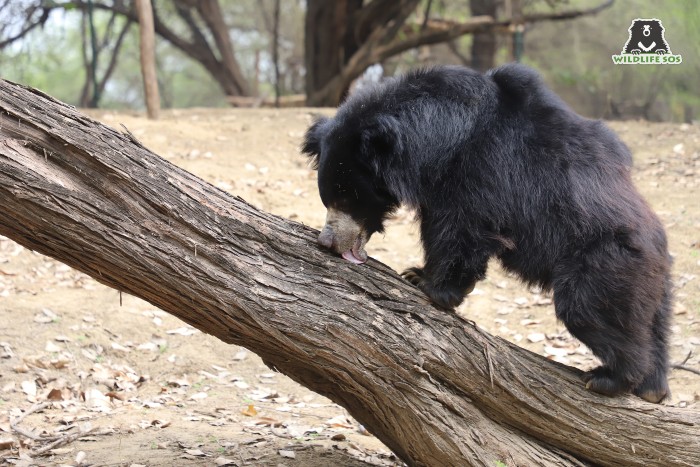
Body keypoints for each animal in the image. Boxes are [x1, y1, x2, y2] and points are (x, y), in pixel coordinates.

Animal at [304, 64, 676, 404]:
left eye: (346, 197)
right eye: (327, 197)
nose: (327, 241)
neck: (436, 134)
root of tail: (657, 247)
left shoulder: (479, 171)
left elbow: (462, 228)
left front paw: (432, 287)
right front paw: (417, 273)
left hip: (604, 263)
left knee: (589, 310)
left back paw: (610, 378)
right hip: (651, 287)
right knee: (652, 327)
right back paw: (653, 388)